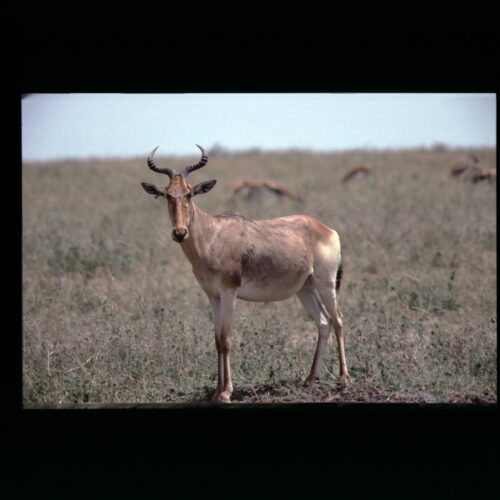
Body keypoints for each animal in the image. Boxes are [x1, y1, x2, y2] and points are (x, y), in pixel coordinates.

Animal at [141, 145, 348, 402]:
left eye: (189, 193)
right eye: (168, 194)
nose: (180, 233)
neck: (212, 235)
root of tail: (327, 229)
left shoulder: (230, 292)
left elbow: (227, 339)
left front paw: (226, 392)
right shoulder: (213, 296)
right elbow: (217, 340)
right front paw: (216, 391)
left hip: (325, 283)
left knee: (338, 320)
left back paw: (343, 378)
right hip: (305, 288)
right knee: (323, 323)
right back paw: (310, 379)